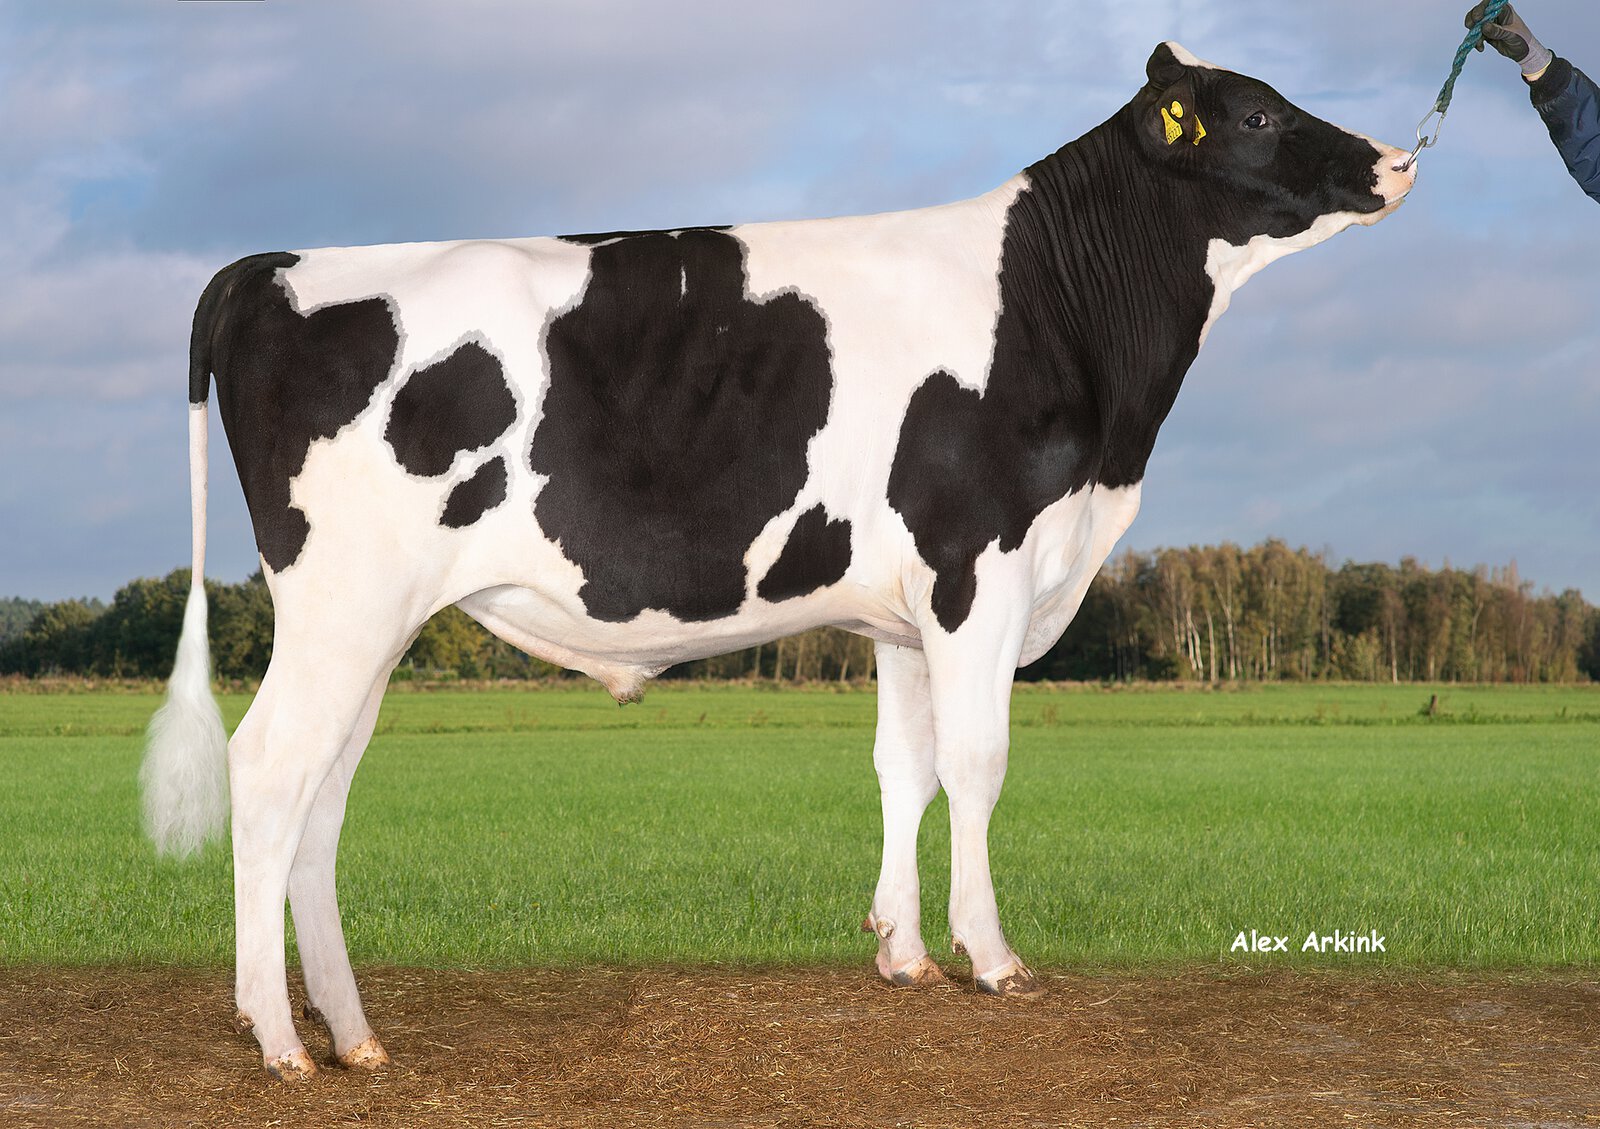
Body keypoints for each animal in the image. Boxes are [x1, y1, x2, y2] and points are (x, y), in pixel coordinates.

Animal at [143, 42, 1416, 1079]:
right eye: (1254, 114)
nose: (1396, 159)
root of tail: (274, 266)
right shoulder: (978, 565)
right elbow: (979, 763)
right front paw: (992, 955)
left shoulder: (908, 608)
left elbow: (906, 768)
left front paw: (903, 951)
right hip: (342, 602)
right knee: (269, 771)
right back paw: (278, 1040)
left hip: (370, 620)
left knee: (321, 795)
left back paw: (352, 1035)